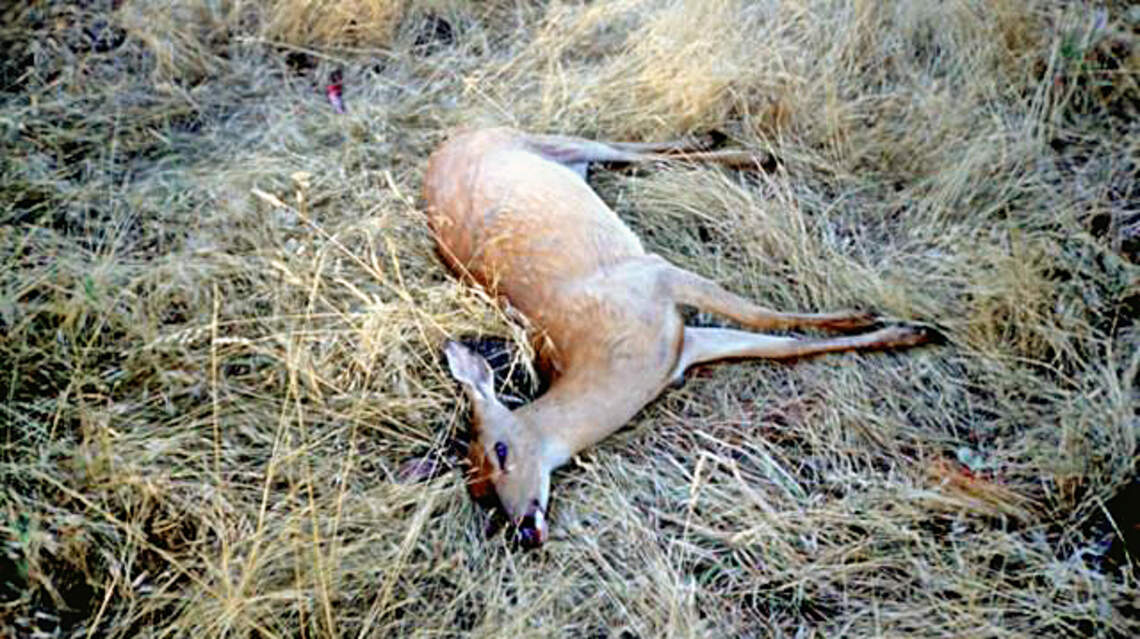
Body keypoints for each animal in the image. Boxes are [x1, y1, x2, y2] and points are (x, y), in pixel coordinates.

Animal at [422, 127, 932, 548]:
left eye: (501, 449)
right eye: (480, 492)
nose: (525, 530)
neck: (605, 356)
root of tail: (448, 143)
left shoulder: (660, 276)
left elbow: (764, 315)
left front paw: (874, 316)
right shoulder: (687, 347)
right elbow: (786, 347)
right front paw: (905, 332)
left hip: (540, 139)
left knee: (619, 147)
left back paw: (753, 152)